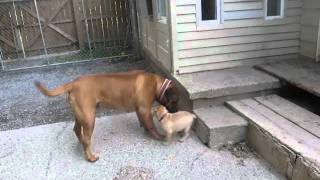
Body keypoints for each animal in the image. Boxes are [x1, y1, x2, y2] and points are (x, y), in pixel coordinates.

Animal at [36, 70, 180, 162]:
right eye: (175, 101)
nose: (176, 111)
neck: (157, 84)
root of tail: (73, 83)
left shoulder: (140, 110)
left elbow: (144, 121)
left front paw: (144, 128)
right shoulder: (145, 109)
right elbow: (151, 126)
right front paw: (158, 136)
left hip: (80, 115)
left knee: (77, 130)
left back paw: (81, 144)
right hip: (89, 118)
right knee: (87, 139)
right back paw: (90, 157)